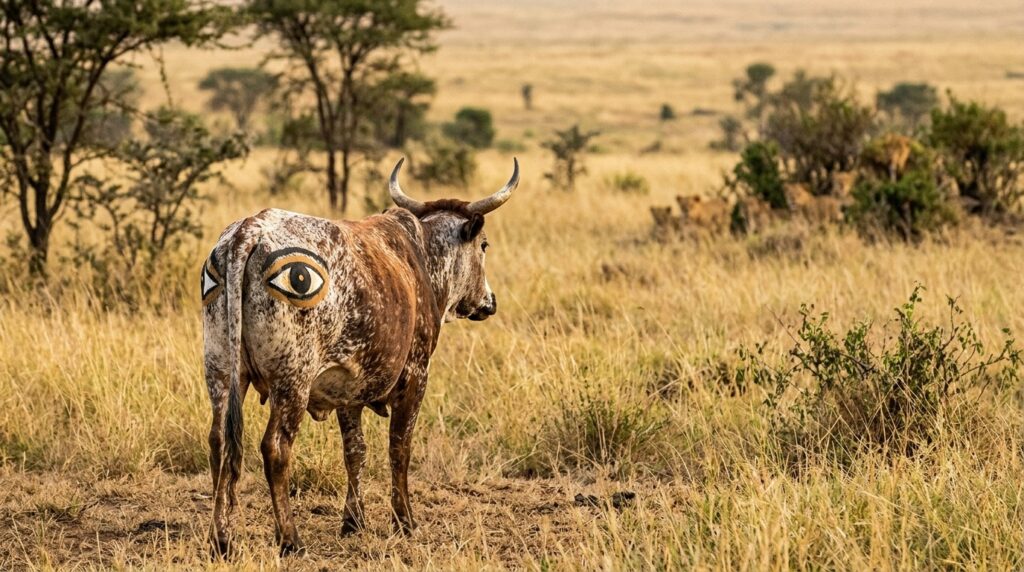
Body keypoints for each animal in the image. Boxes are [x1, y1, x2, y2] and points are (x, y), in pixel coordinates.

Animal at [202, 159, 519, 556]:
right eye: (485, 245)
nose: (490, 302)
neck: (420, 257)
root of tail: (249, 231)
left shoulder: (346, 390)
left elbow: (355, 451)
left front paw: (353, 520)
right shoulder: (416, 377)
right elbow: (399, 448)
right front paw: (405, 520)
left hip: (220, 373)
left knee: (219, 444)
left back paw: (221, 538)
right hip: (291, 382)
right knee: (275, 447)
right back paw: (290, 538)